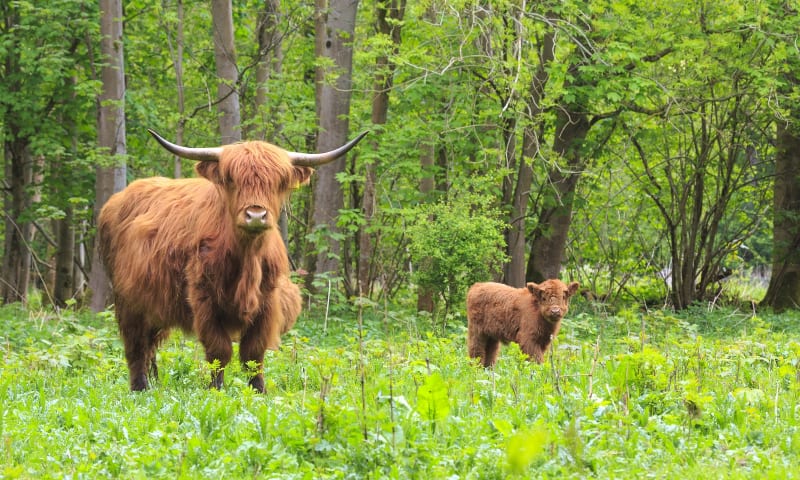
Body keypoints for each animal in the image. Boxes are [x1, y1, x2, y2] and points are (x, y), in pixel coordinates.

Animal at [97, 129, 368, 392]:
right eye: (232, 180)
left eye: (278, 182)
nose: (256, 214)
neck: (248, 258)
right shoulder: (204, 299)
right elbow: (219, 350)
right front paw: (216, 389)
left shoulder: (267, 302)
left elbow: (253, 352)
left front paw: (258, 390)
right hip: (128, 301)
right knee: (135, 345)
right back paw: (140, 387)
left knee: (149, 343)